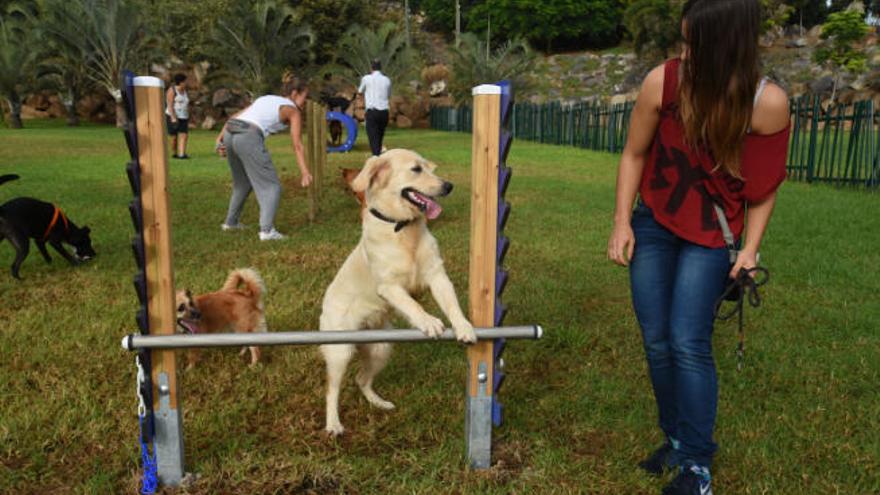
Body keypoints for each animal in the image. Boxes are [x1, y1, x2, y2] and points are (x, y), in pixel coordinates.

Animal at [320, 149, 478, 436]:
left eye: (430, 168)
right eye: (416, 169)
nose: (448, 186)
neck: (403, 227)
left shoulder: (437, 275)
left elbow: (452, 305)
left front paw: (463, 327)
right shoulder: (390, 287)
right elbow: (413, 305)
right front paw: (428, 322)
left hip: (381, 349)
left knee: (361, 379)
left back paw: (379, 403)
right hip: (341, 352)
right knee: (331, 390)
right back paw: (334, 424)